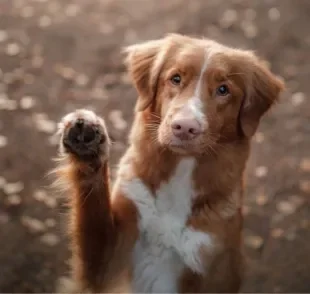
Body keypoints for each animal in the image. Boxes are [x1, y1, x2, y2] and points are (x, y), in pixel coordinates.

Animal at [54, 33, 284, 292]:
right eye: (175, 79)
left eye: (223, 90)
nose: (185, 127)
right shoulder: (105, 263)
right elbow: (92, 208)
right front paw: (88, 144)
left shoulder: (214, 267)